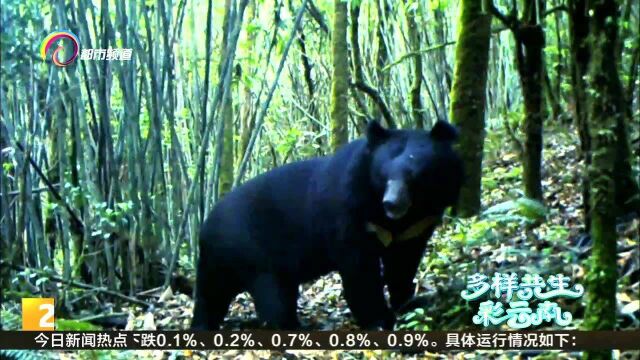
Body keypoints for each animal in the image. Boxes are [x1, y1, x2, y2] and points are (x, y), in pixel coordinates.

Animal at [190, 121, 460, 330]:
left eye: (415, 174)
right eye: (384, 176)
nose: (392, 203)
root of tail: (206, 225)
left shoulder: (416, 226)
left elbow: (403, 264)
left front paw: (410, 302)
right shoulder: (350, 212)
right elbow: (359, 269)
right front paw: (380, 319)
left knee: (213, 293)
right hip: (252, 251)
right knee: (270, 297)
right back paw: (291, 327)